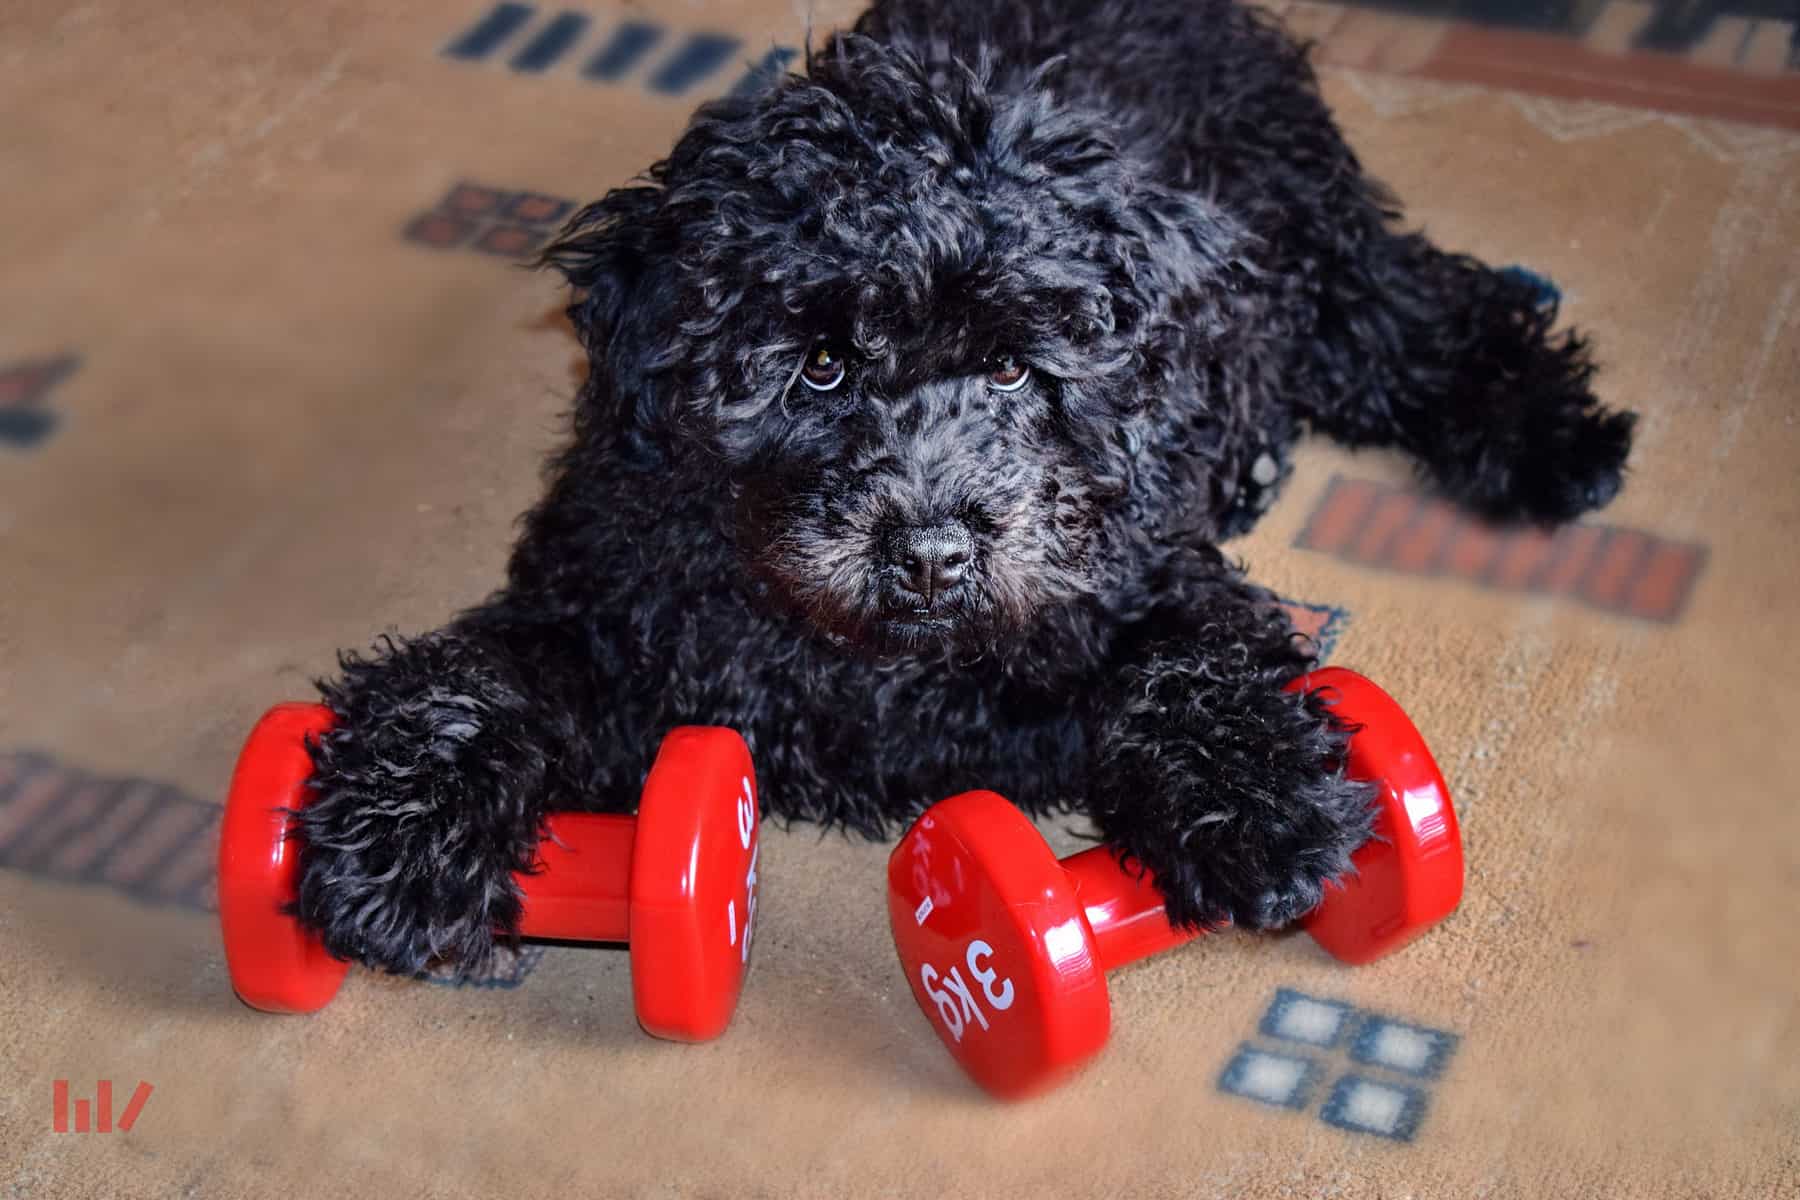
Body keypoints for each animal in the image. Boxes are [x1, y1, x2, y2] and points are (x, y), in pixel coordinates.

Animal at [295, 2, 1634, 978]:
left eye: (1011, 363)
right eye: (819, 364)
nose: (934, 553)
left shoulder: (1135, 576)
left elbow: (1189, 662)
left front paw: (1265, 806)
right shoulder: (601, 610)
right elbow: (476, 681)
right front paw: (394, 838)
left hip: (1329, 263)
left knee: (1446, 316)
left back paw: (1561, 444)